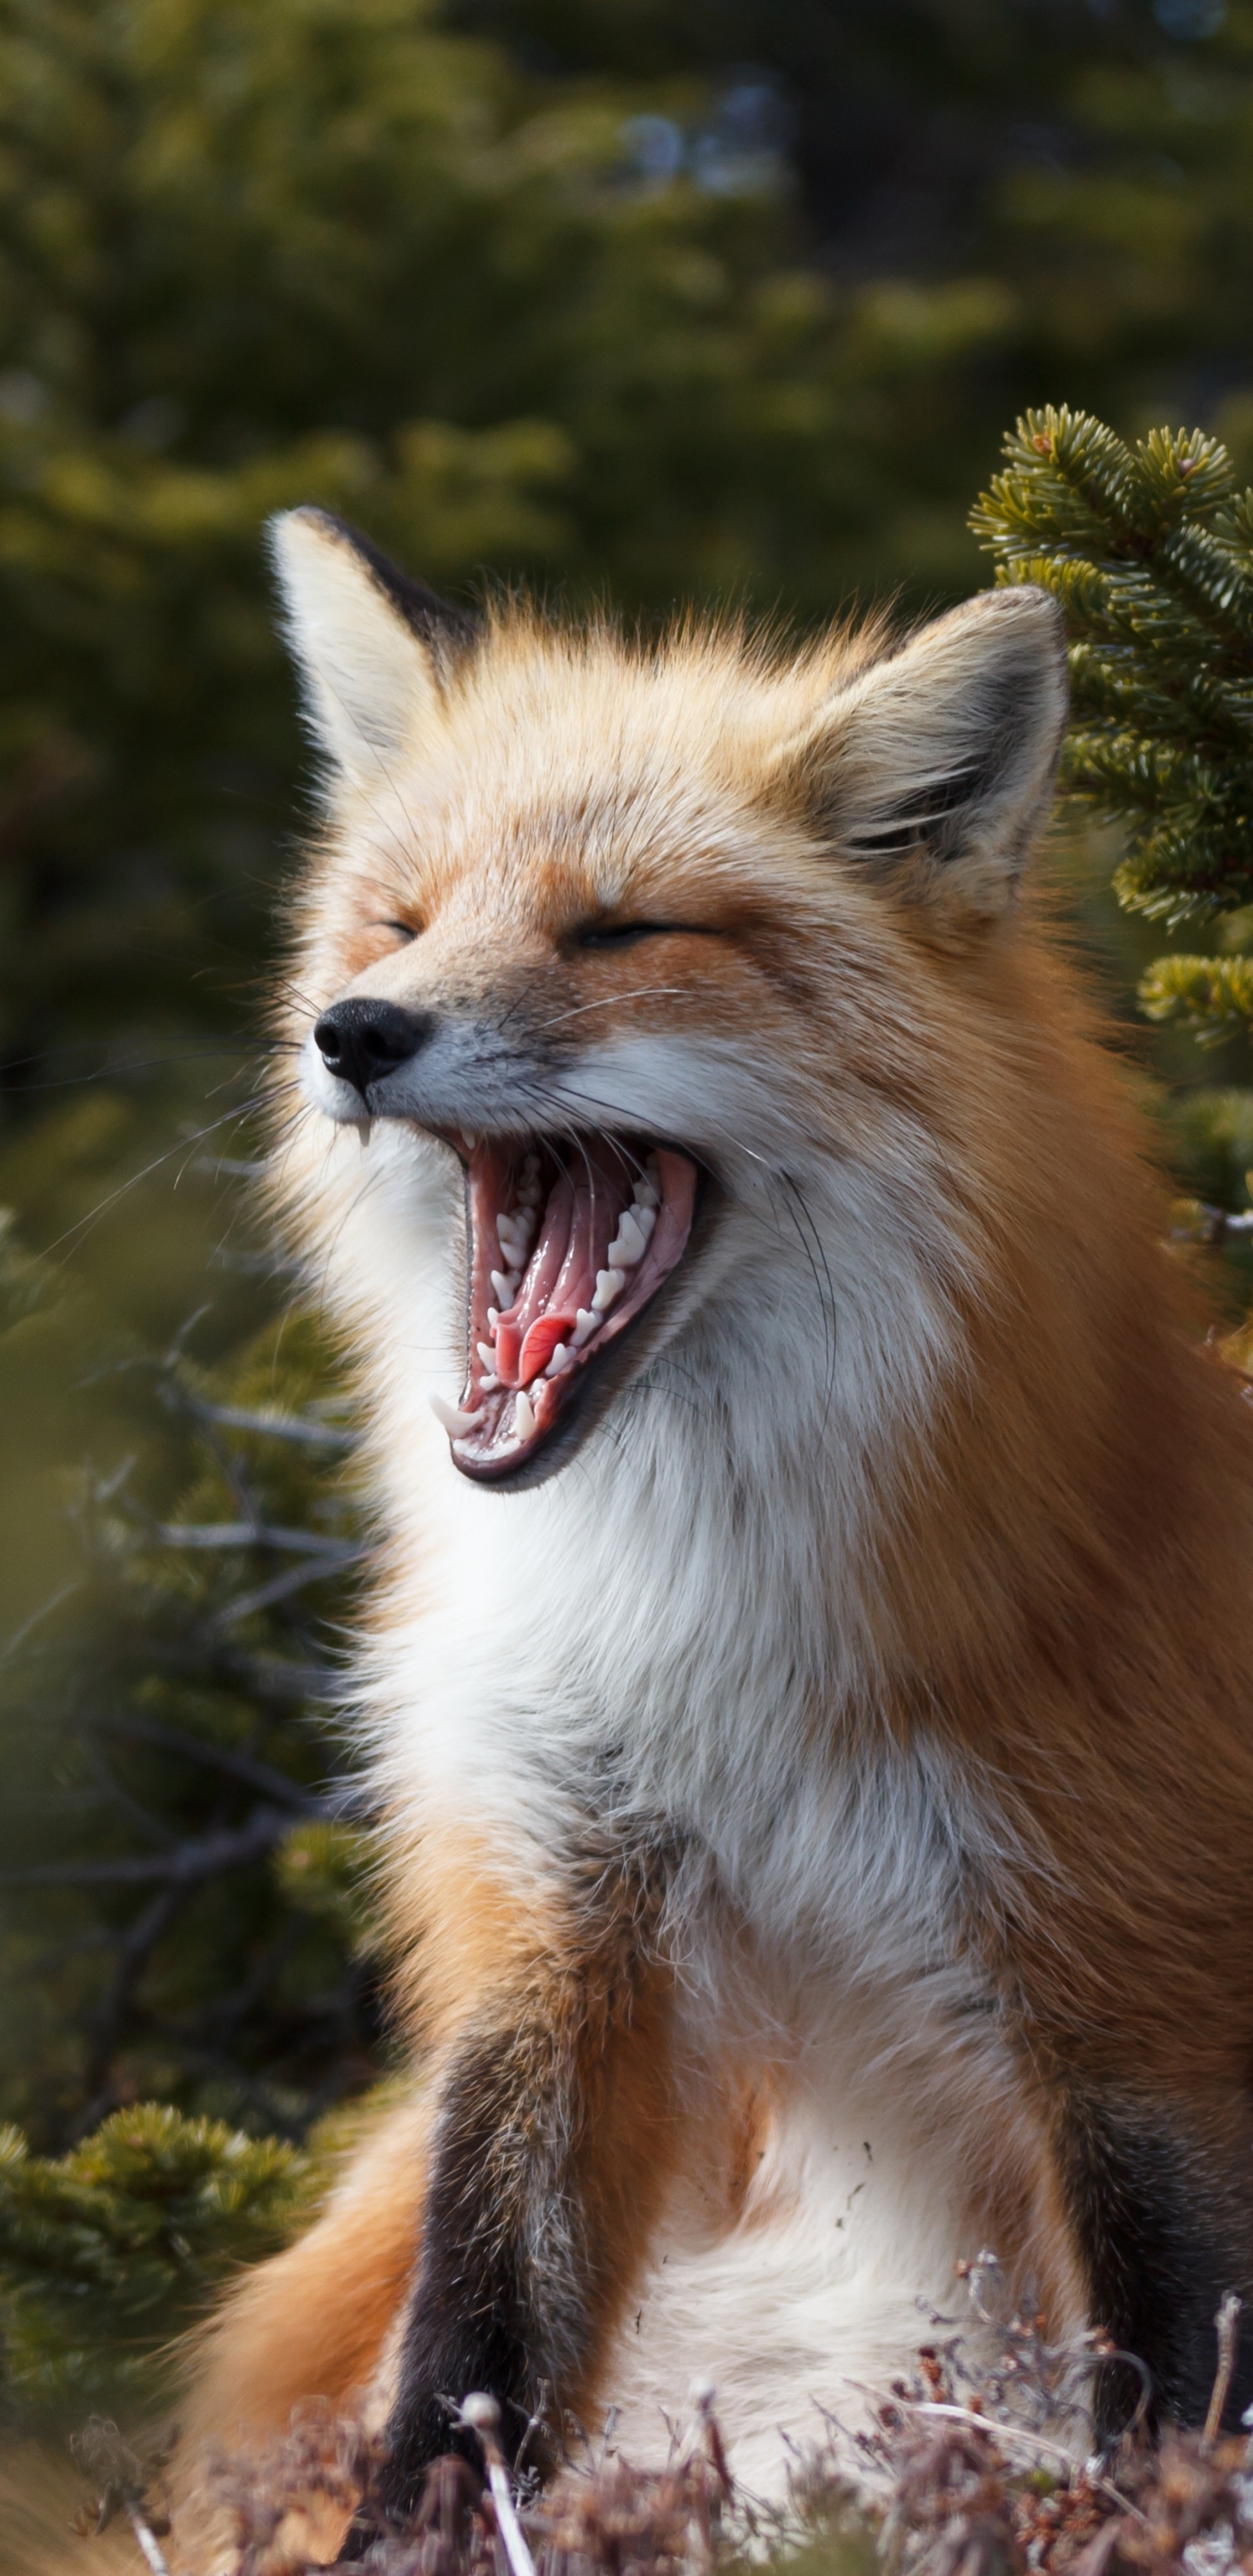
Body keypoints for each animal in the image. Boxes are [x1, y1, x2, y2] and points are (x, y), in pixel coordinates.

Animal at [169, 502, 1253, 2534]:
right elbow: (472, 2360)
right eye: (400, 920)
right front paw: (414, 2549)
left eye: (621, 930)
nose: (355, 1032)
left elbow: (1171, 2407)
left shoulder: (1129, 1983)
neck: (697, 1630)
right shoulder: (557, 1921)